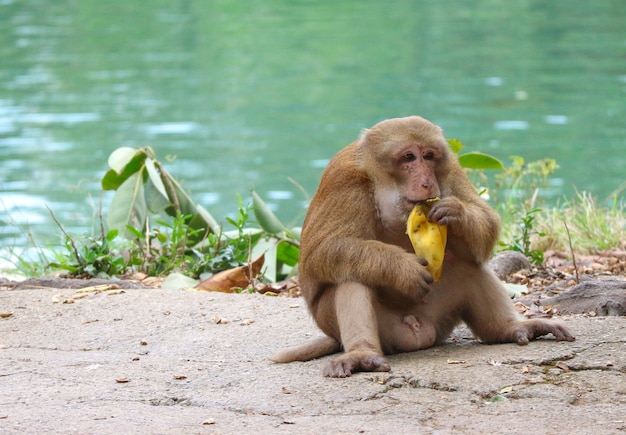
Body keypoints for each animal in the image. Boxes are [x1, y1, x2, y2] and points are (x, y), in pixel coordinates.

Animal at [270, 116, 572, 378]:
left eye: (428, 156)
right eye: (408, 158)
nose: (427, 181)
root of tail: (419, 333)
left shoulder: (450, 169)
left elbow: (486, 223)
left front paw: (457, 213)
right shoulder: (343, 179)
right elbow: (320, 251)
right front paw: (402, 268)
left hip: (439, 319)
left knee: (466, 264)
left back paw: (509, 329)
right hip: (378, 330)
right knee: (353, 275)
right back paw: (362, 354)